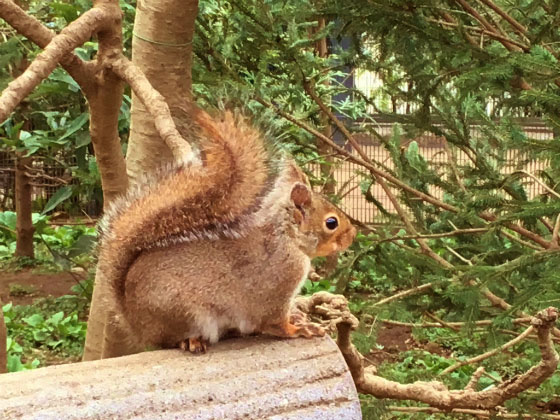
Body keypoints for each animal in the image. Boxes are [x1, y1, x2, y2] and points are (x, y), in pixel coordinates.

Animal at [97, 108, 356, 354]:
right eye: (331, 222)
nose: (352, 235)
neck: (288, 239)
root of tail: (135, 323)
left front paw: (297, 316)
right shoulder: (275, 287)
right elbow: (275, 322)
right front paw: (300, 328)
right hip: (181, 313)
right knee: (170, 340)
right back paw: (191, 341)